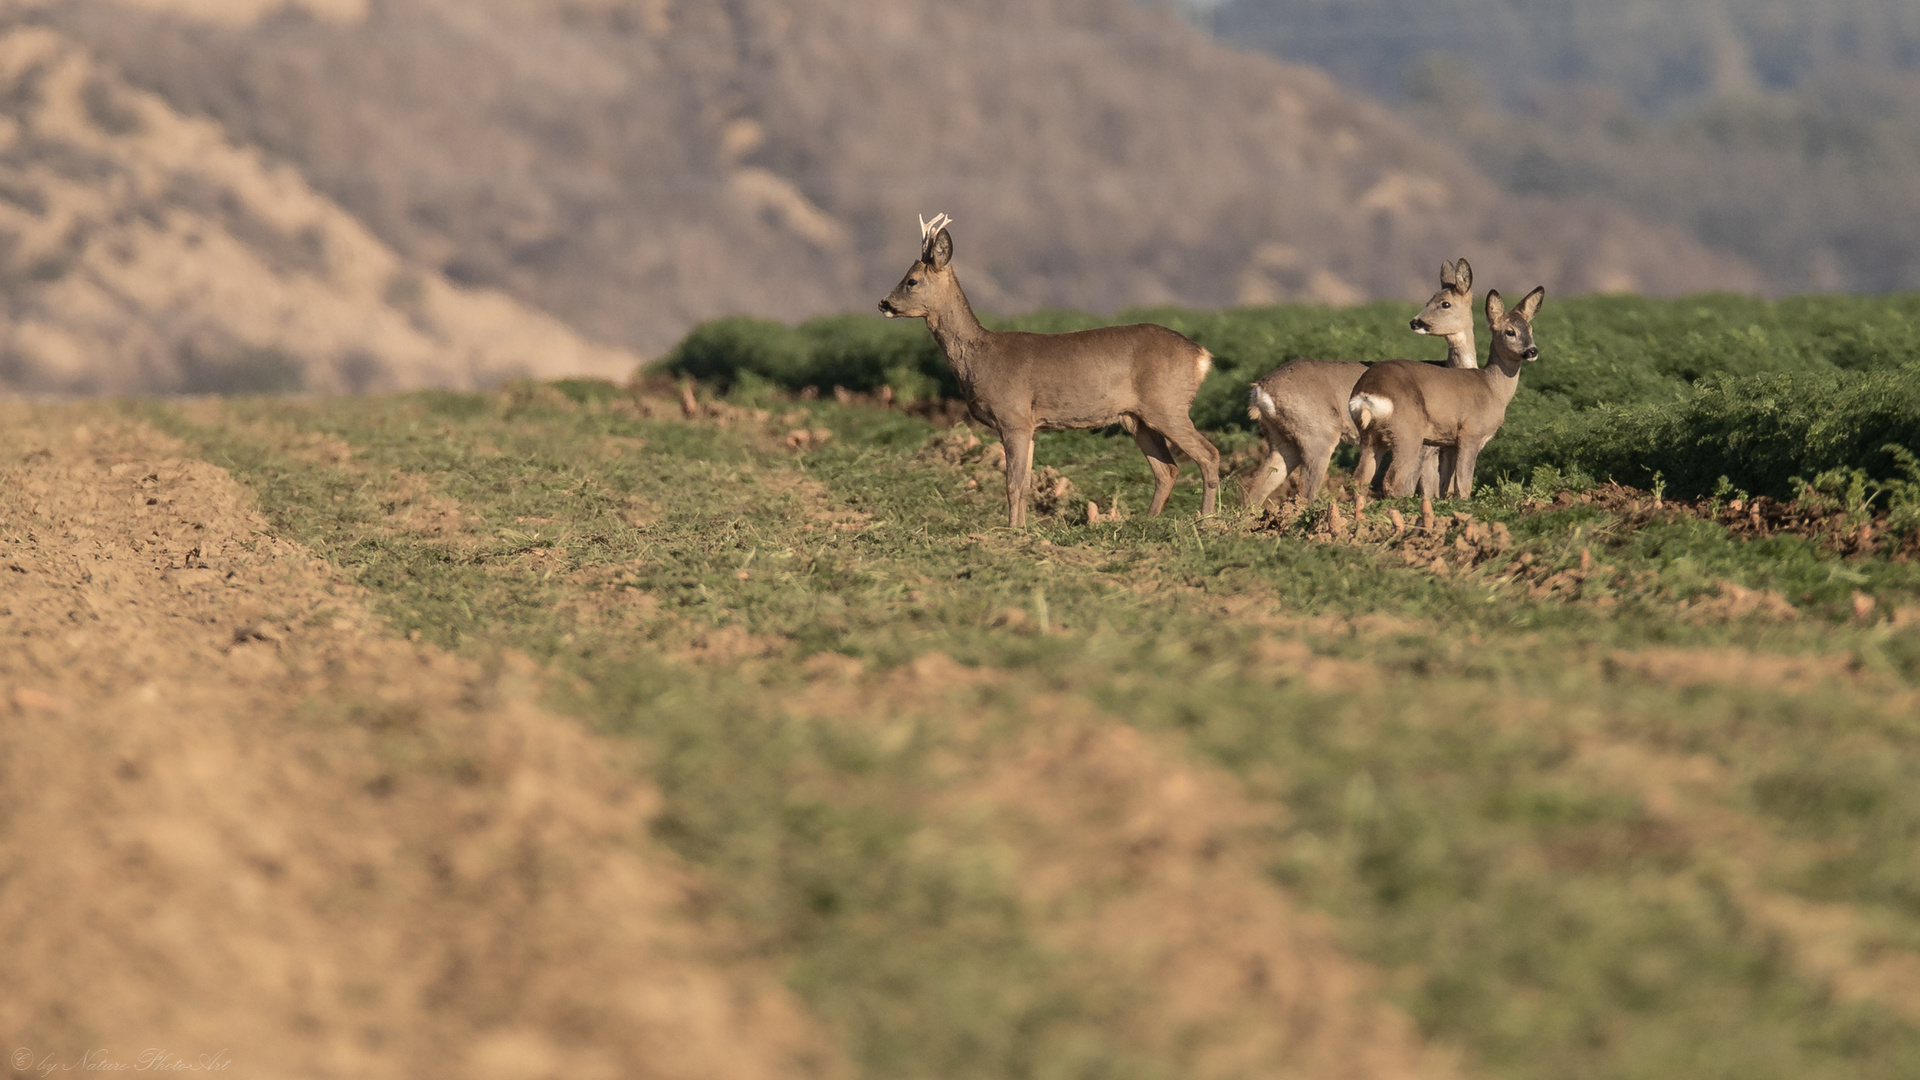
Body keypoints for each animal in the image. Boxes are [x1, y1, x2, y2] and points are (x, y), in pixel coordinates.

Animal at [879, 214, 1221, 526]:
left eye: (911, 280)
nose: (883, 303)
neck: (981, 357)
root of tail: (1201, 355)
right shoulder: (1030, 426)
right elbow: (1025, 484)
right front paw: (1022, 529)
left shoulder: (1014, 417)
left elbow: (1013, 484)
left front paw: (1013, 532)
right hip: (1136, 418)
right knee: (1167, 469)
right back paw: (1145, 521)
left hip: (1167, 404)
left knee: (1208, 454)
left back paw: (1205, 520)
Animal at [1244, 257, 1482, 507]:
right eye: (1429, 301)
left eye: (1445, 303)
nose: (1415, 322)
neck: (1451, 370)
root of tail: (1260, 390)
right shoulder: (1426, 446)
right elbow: (1421, 489)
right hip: (1318, 434)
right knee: (1304, 491)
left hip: (1281, 439)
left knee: (1254, 488)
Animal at [1351, 278, 1543, 495]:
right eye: (1510, 332)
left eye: (1531, 330)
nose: (1532, 351)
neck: (1492, 389)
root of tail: (1367, 393)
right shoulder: (1470, 434)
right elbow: (1464, 485)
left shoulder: (1450, 443)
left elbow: (1446, 487)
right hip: (1407, 433)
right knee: (1393, 481)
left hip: (1370, 436)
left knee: (1359, 479)